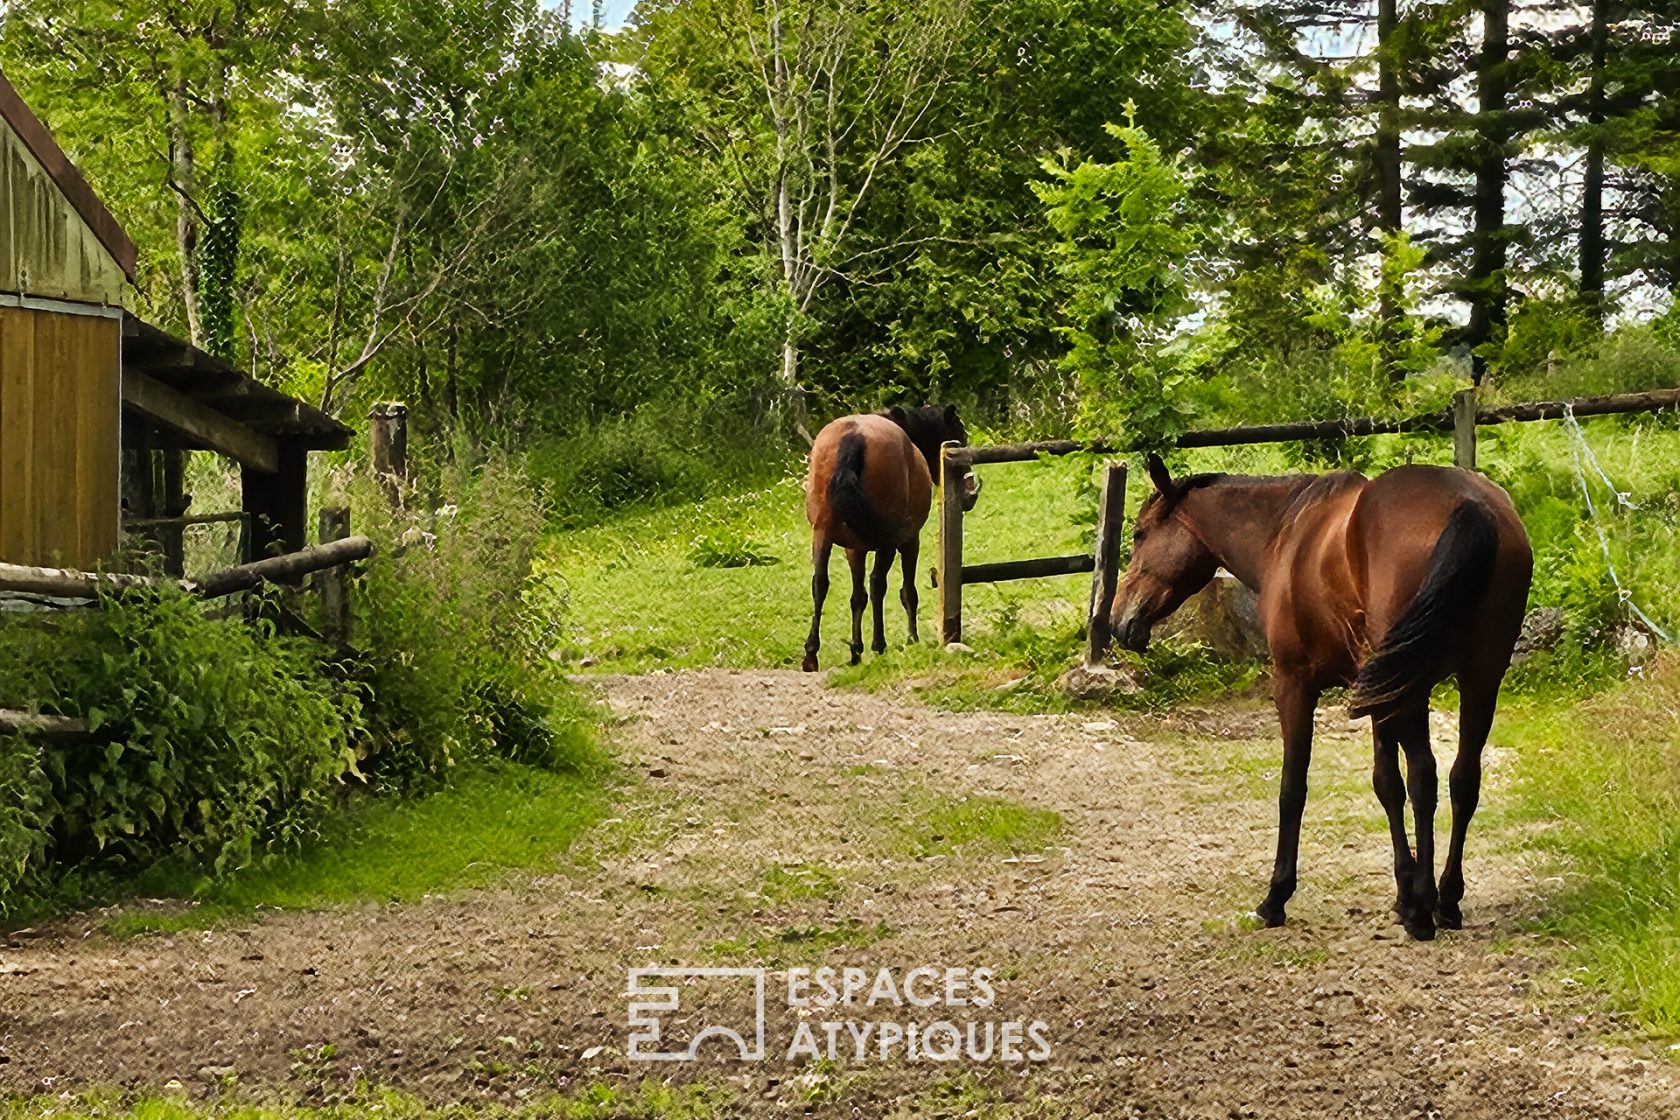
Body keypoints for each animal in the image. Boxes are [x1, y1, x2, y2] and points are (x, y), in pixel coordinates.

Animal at [803, 404, 981, 675]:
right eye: (961, 436)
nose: (970, 495)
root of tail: (853, 436)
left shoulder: (854, 550)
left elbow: (858, 597)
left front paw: (856, 650)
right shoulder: (910, 541)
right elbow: (907, 591)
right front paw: (912, 639)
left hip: (822, 533)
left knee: (820, 584)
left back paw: (811, 655)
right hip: (887, 543)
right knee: (878, 583)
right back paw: (879, 644)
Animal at [1108, 453, 1532, 940]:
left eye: (1140, 534)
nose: (1118, 620)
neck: (1285, 535)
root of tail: (1469, 504)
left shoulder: (1294, 684)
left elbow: (1294, 787)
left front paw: (1276, 897)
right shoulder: (1377, 691)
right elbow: (1387, 783)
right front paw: (1403, 894)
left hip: (1417, 688)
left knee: (1426, 777)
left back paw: (1425, 910)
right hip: (1480, 677)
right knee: (1463, 779)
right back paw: (1445, 900)